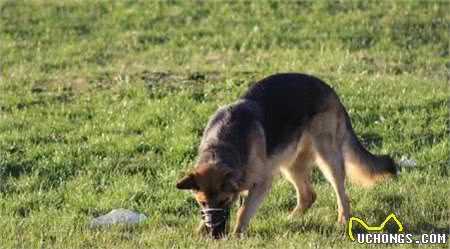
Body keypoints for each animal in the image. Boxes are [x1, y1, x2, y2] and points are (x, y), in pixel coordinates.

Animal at [177, 73, 398, 238]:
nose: (214, 233)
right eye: (202, 203)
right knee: (308, 195)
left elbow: (243, 211)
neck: (221, 146)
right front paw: (201, 231)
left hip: (327, 159)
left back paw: (342, 221)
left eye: (224, 201)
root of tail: (330, 90)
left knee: (342, 194)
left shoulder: (262, 183)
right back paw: (291, 219)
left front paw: (236, 235)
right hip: (290, 164)